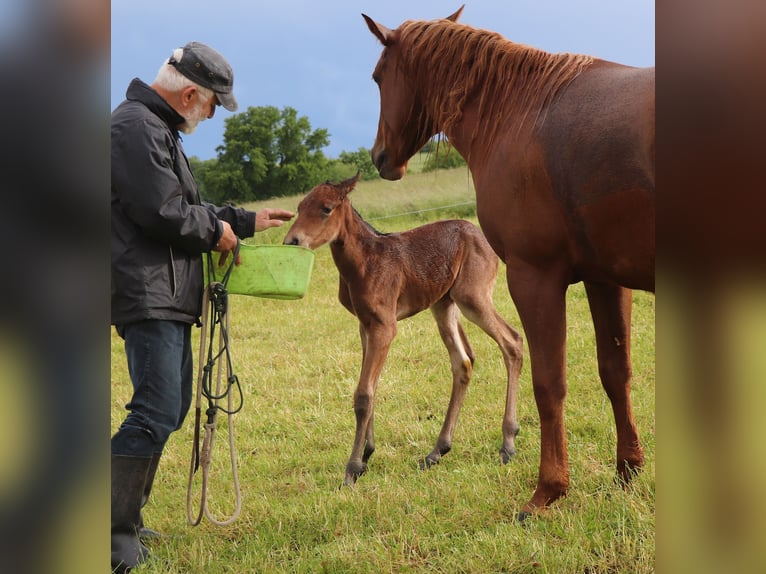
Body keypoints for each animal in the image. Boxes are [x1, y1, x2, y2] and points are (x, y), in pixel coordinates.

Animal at [283, 173, 524, 486]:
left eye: (326, 208)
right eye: (299, 207)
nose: (292, 241)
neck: (363, 262)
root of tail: (485, 238)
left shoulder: (385, 326)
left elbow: (364, 394)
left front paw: (352, 468)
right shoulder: (365, 324)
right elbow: (370, 386)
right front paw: (366, 454)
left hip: (472, 297)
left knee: (512, 341)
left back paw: (508, 442)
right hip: (443, 304)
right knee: (463, 362)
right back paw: (436, 452)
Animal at [361, 6, 655, 520]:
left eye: (378, 76)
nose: (380, 156)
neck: (522, 115)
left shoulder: (534, 278)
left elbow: (548, 383)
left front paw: (547, 491)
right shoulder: (606, 279)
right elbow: (615, 371)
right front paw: (627, 470)